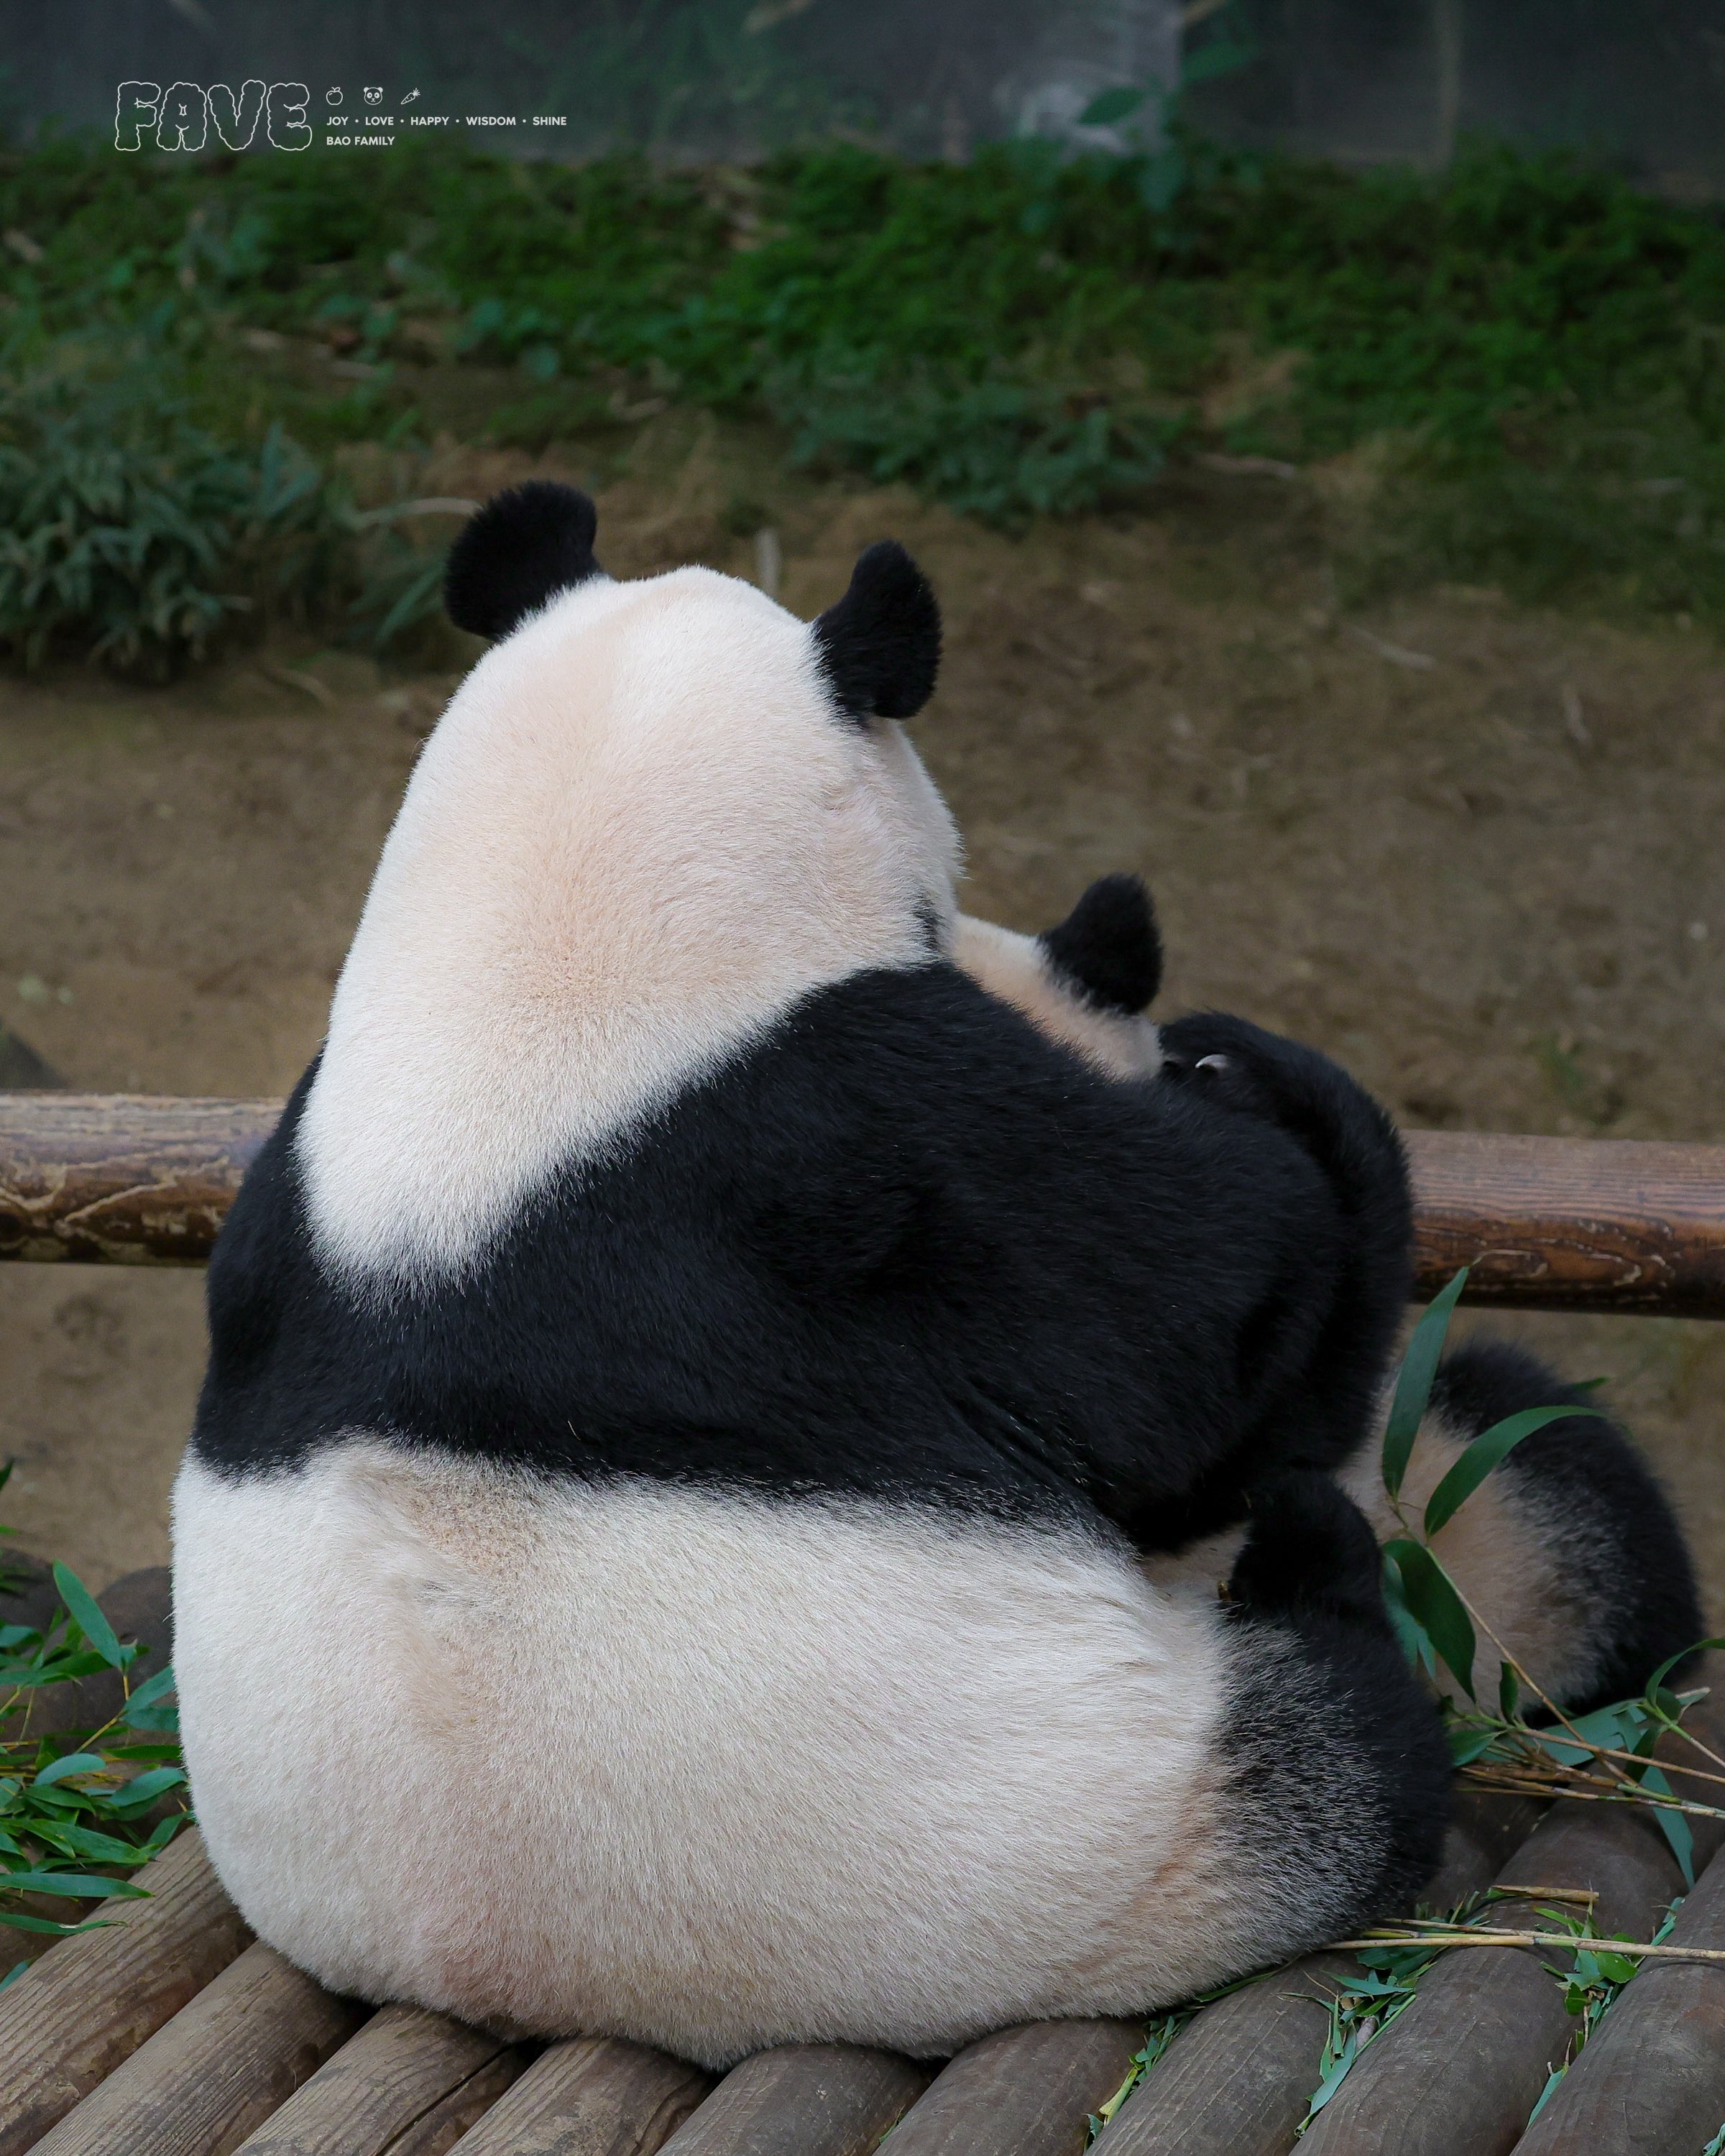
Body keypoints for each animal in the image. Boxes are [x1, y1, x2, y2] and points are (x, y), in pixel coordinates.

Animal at [171, 481, 1699, 2061]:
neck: (546, 947)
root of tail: (537, 1987)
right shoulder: (904, 1161)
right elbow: (1237, 1345)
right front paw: (1255, 1086)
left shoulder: (288, 1169)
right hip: (1124, 1835)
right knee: (1397, 1658)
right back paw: (1334, 1579)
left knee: (1531, 1481)